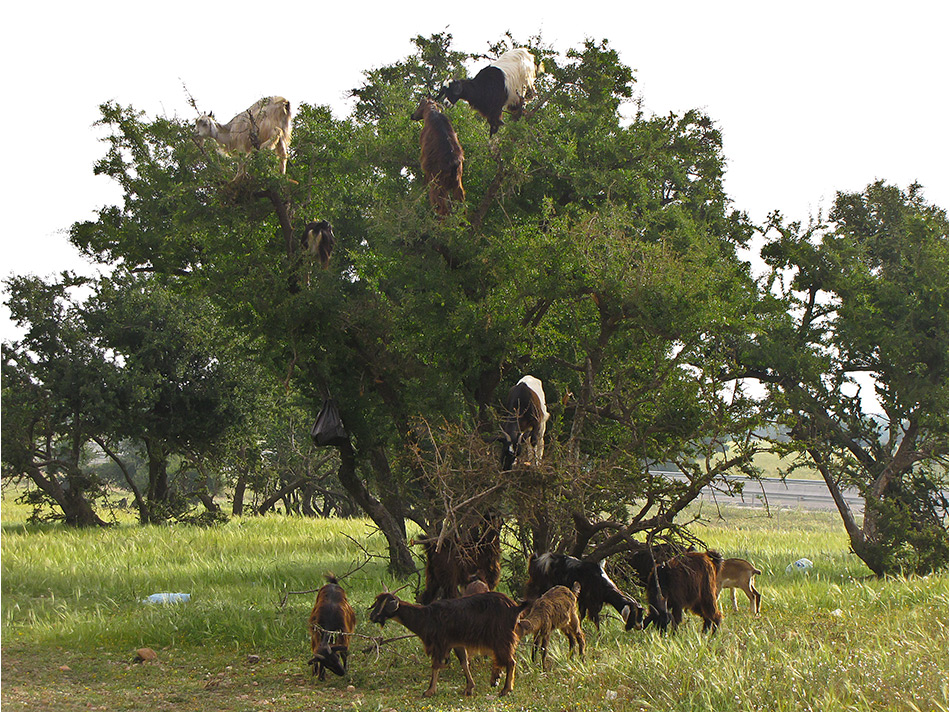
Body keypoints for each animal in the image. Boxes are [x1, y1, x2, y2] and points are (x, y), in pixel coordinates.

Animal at [368, 588, 528, 696]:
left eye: (385, 604)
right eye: (376, 603)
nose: (372, 617)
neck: (426, 617)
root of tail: (515, 607)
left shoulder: (440, 643)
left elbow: (436, 665)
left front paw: (429, 691)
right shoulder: (456, 643)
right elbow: (464, 662)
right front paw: (469, 687)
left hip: (502, 638)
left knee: (511, 661)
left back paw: (506, 689)